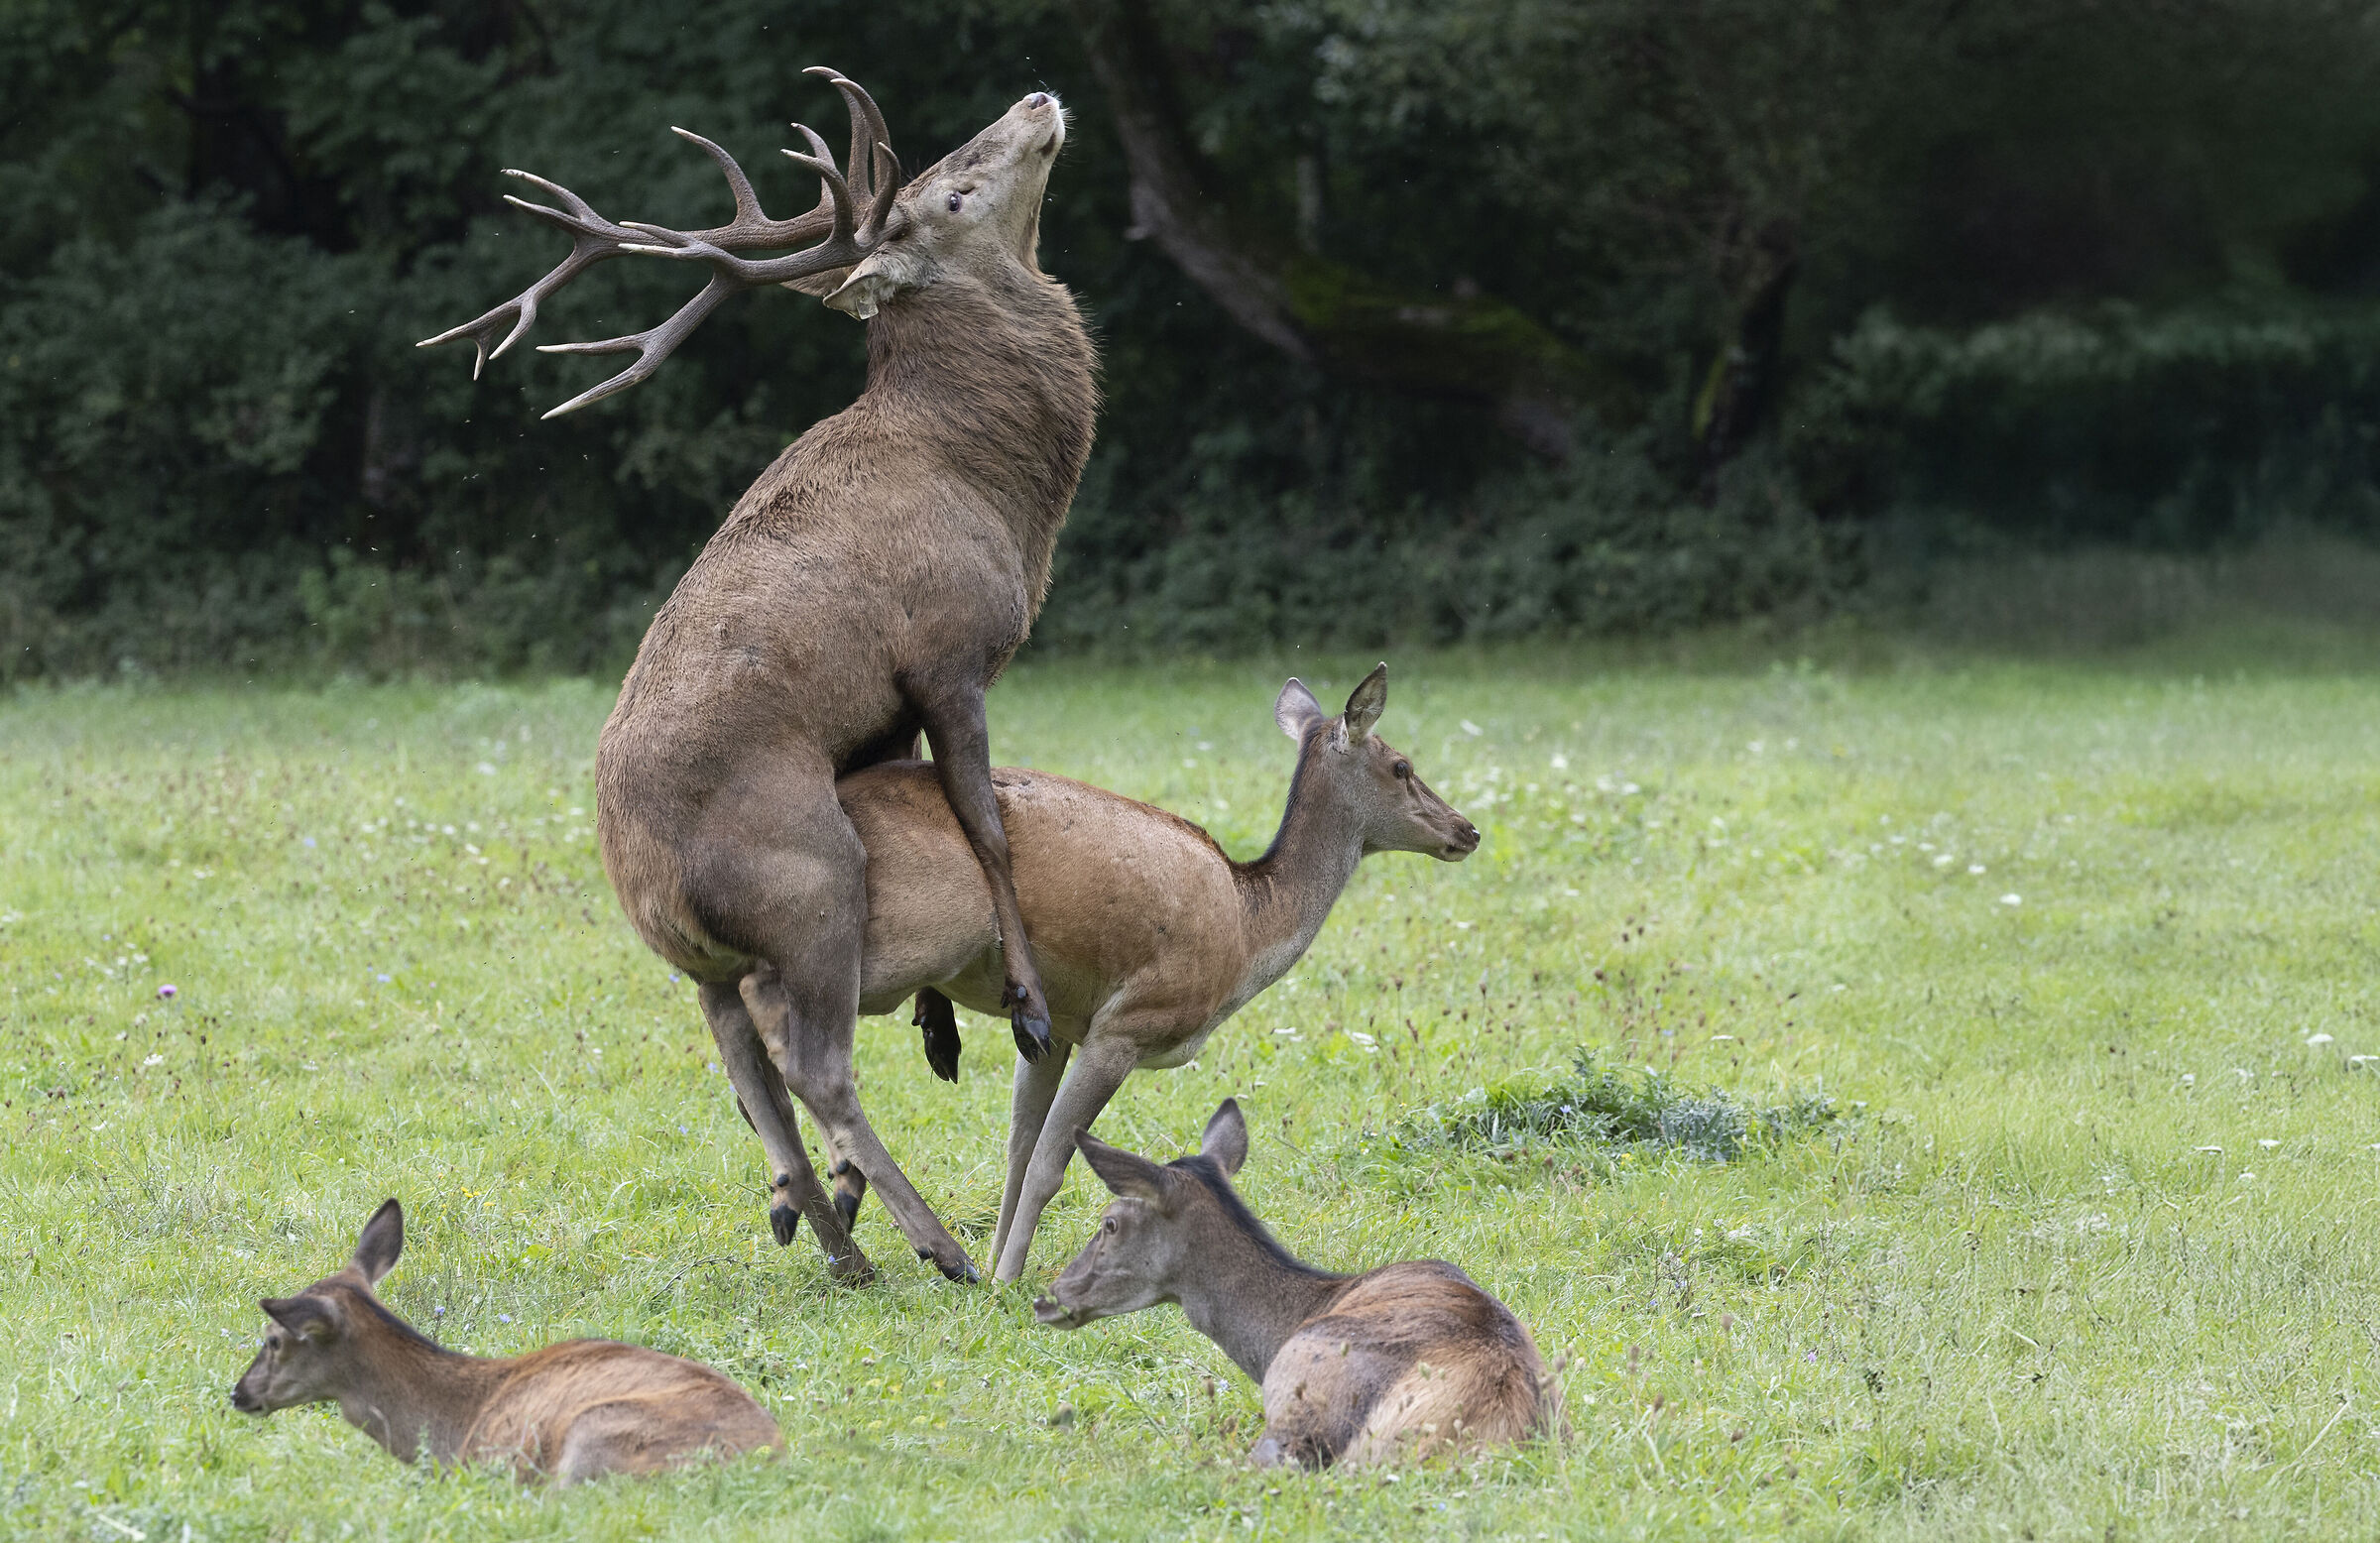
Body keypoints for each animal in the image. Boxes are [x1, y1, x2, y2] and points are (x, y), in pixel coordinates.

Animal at [421, 70, 1097, 1283]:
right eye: (955, 191)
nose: (1037, 96)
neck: (1004, 496)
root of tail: (649, 883)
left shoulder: (883, 715)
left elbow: (924, 806)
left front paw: (936, 1029)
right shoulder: (949, 650)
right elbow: (983, 822)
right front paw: (1020, 1004)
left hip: (701, 959)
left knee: (747, 1067)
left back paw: (832, 1231)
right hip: (809, 875)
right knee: (811, 1059)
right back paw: (932, 1244)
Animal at [831, 664, 1478, 1281]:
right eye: (1402, 765)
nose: (1466, 829)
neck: (1247, 937)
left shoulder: (1053, 1025)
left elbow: (1016, 1148)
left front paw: (995, 1269)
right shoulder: (1129, 1022)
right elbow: (1048, 1164)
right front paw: (1008, 1280)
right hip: (906, 939)